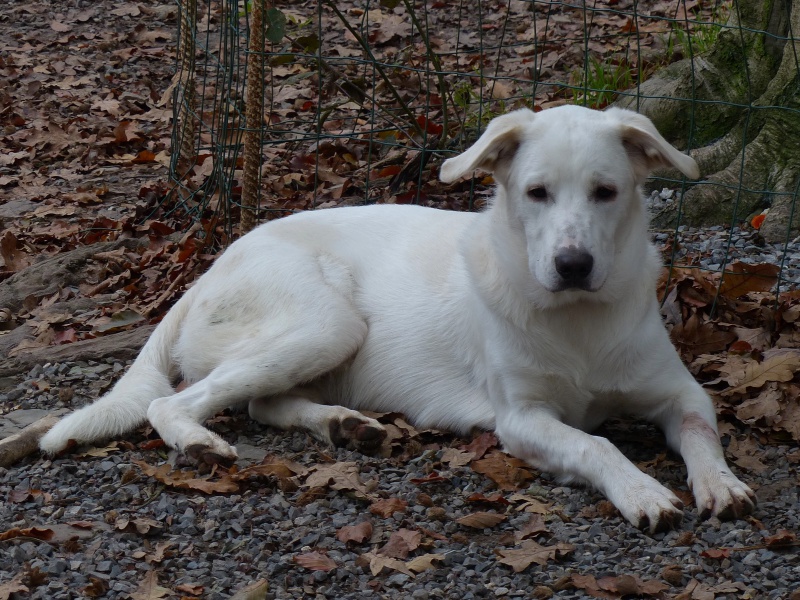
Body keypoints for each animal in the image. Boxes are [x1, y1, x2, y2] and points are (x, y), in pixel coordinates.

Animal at [40, 105, 756, 532]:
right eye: (537, 193)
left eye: (606, 192)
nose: (573, 264)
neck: (578, 321)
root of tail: (205, 272)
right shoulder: (522, 420)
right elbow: (595, 442)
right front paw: (641, 491)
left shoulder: (681, 392)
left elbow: (703, 433)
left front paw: (720, 483)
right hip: (329, 323)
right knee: (177, 402)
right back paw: (199, 442)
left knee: (263, 403)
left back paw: (347, 426)